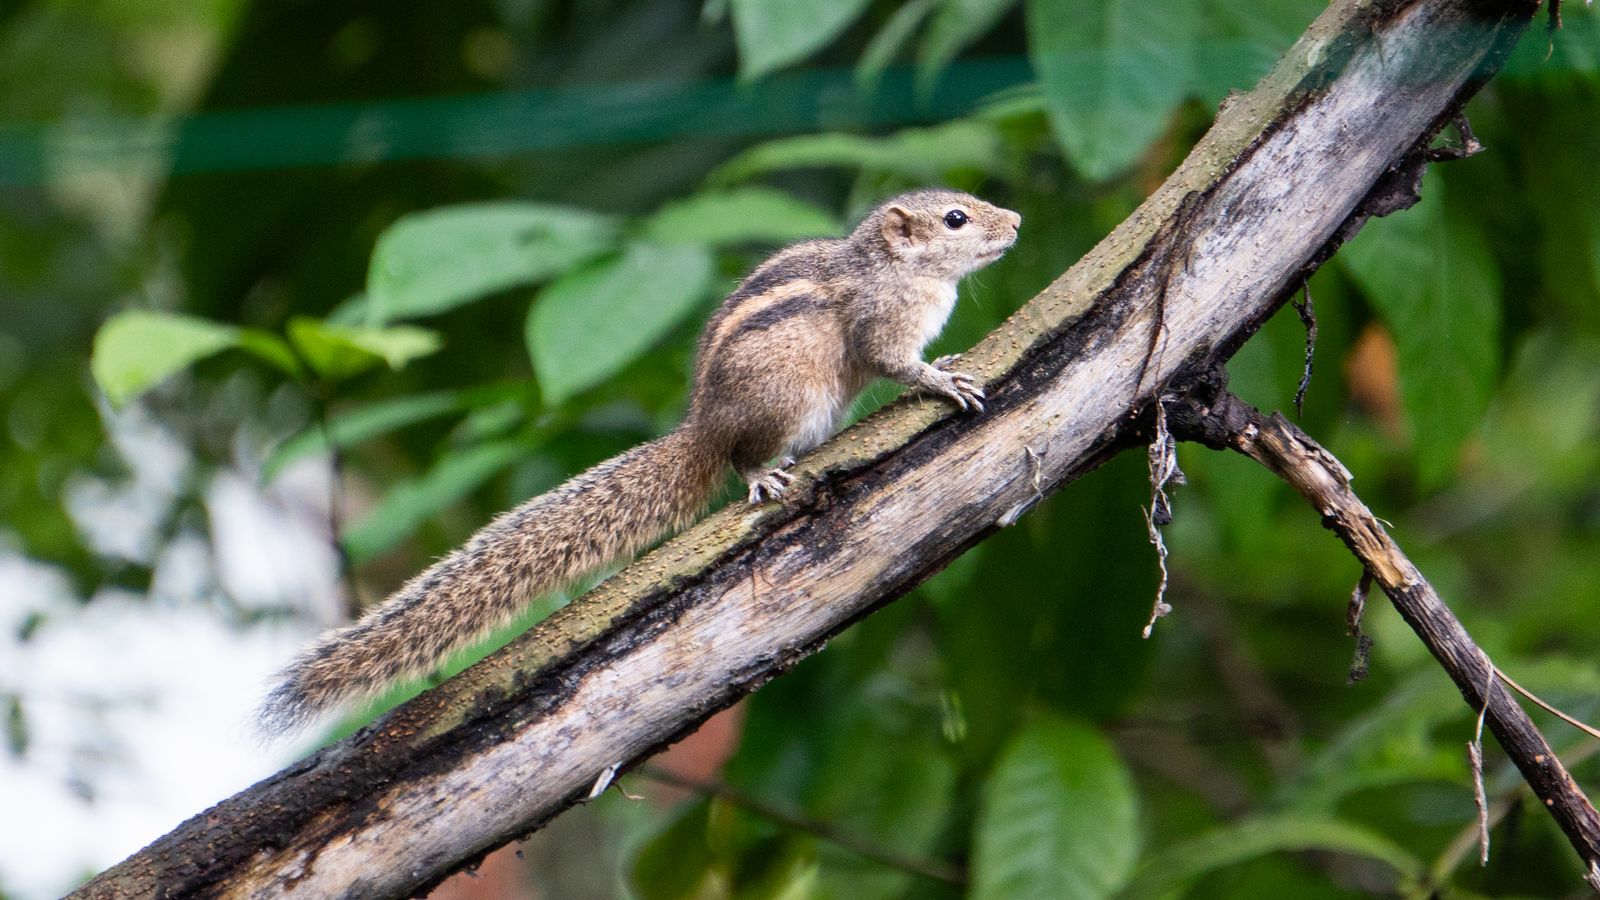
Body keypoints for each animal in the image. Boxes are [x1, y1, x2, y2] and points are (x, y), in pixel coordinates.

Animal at [257, 188, 1021, 734]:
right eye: (956, 218)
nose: (1015, 221)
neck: (890, 268)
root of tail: (702, 428)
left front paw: (949, 360)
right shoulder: (880, 326)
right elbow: (894, 362)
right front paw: (939, 379)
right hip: (785, 400)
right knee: (742, 458)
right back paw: (760, 473)